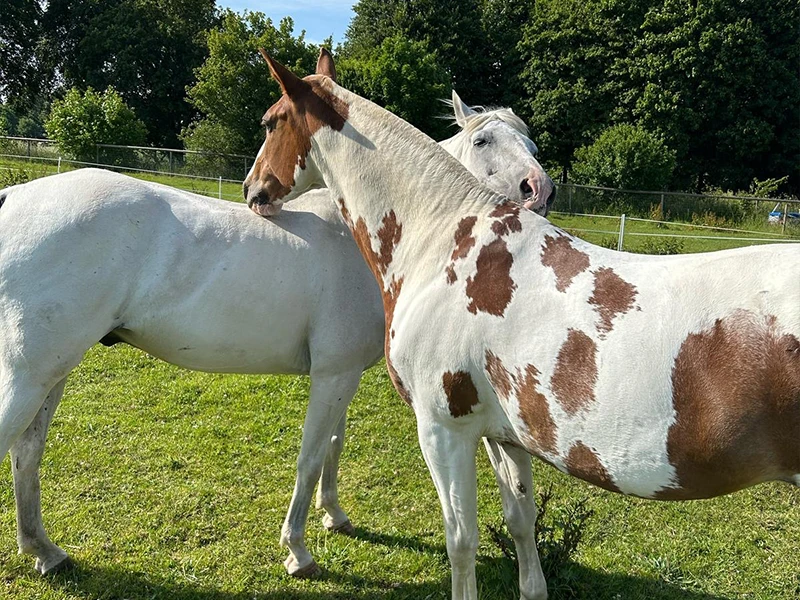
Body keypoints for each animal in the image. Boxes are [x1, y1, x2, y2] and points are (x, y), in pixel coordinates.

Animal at [0, 62, 554, 579]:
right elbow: (310, 456)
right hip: (29, 375)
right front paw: (299, 552)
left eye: (530, 140)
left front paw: (335, 516)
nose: (539, 190)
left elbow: (333, 445)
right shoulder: (333, 374)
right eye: (483, 139)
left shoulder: (342, 374)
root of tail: (15, 198)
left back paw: (44, 551)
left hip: (53, 371)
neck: (366, 235)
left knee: (27, 452)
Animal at [243, 51, 799, 600]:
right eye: (484, 139)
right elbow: (521, 520)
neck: (445, 240)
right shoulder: (504, 435)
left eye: (270, 122)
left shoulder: (443, 431)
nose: (253, 189)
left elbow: (461, 542)